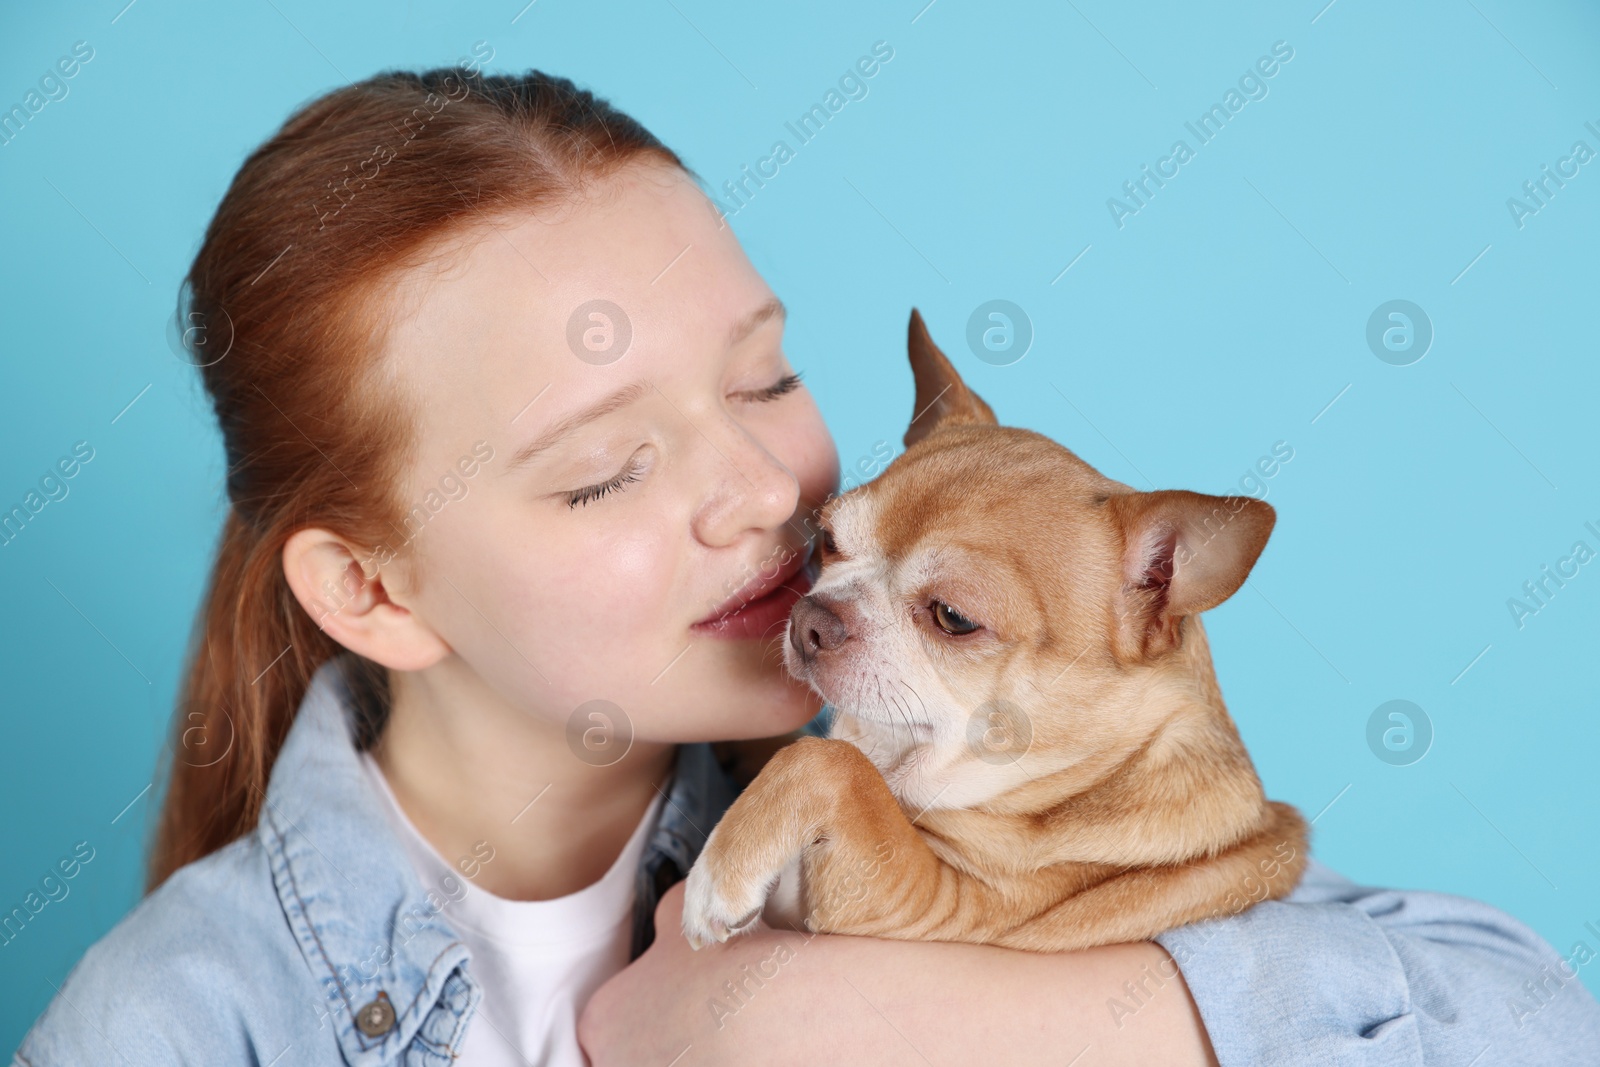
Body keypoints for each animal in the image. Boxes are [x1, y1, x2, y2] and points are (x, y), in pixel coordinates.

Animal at [681, 308, 1305, 953]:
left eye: (953, 618)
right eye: (828, 540)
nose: (812, 618)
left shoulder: (931, 902)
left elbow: (830, 764)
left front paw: (717, 875)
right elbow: (829, 753)